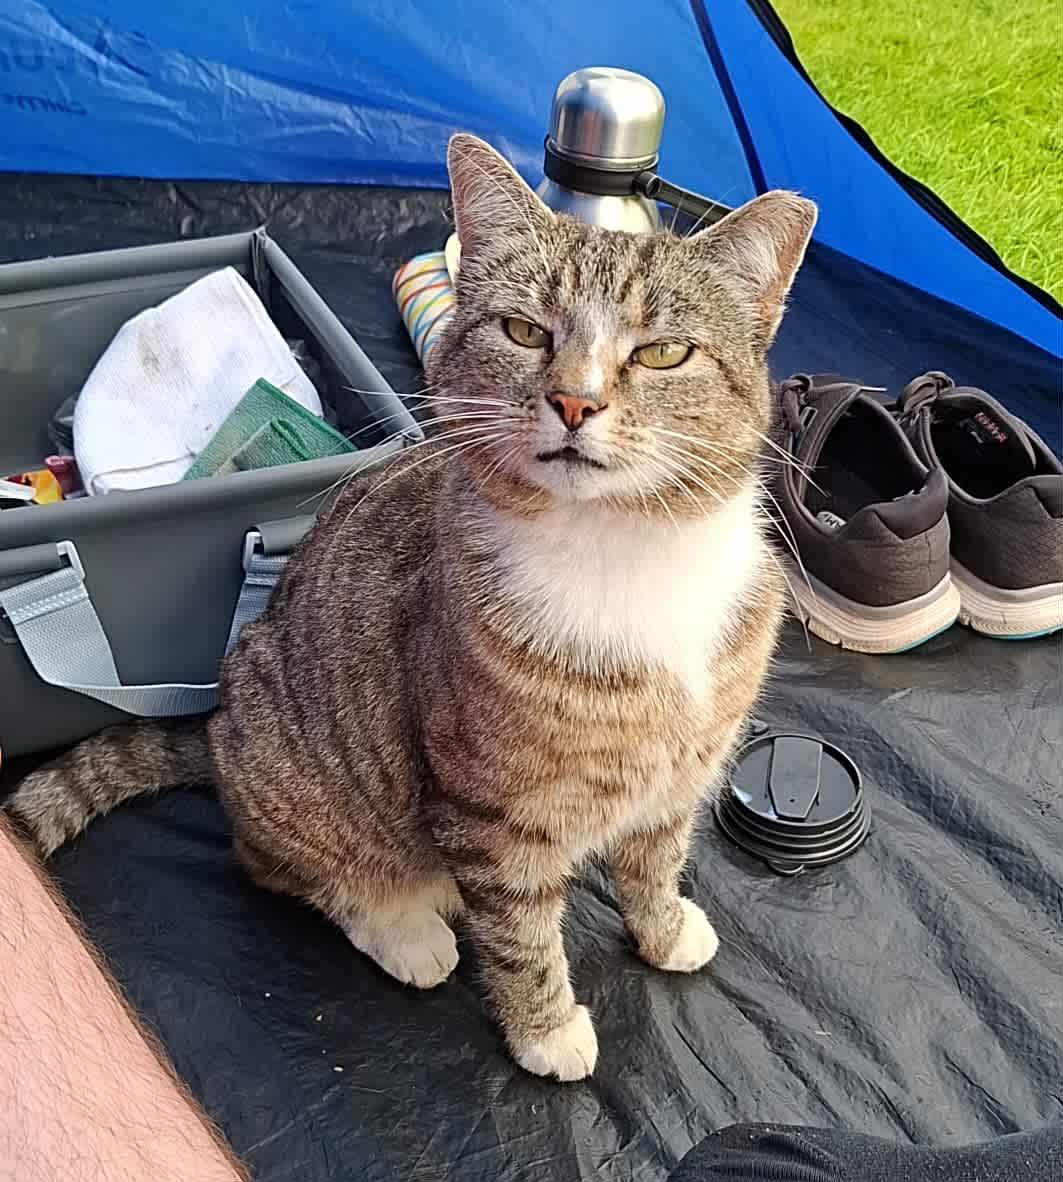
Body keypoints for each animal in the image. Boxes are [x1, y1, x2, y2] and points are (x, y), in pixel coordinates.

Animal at [6, 135, 813, 1082]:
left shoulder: (679, 774)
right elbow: (520, 934)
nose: (575, 401)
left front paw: (662, 927)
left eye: (661, 355)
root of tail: (215, 732)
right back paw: (402, 928)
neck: (624, 550)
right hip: (295, 776)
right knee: (284, 868)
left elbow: (655, 861)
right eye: (524, 331)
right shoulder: (491, 812)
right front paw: (546, 1029)